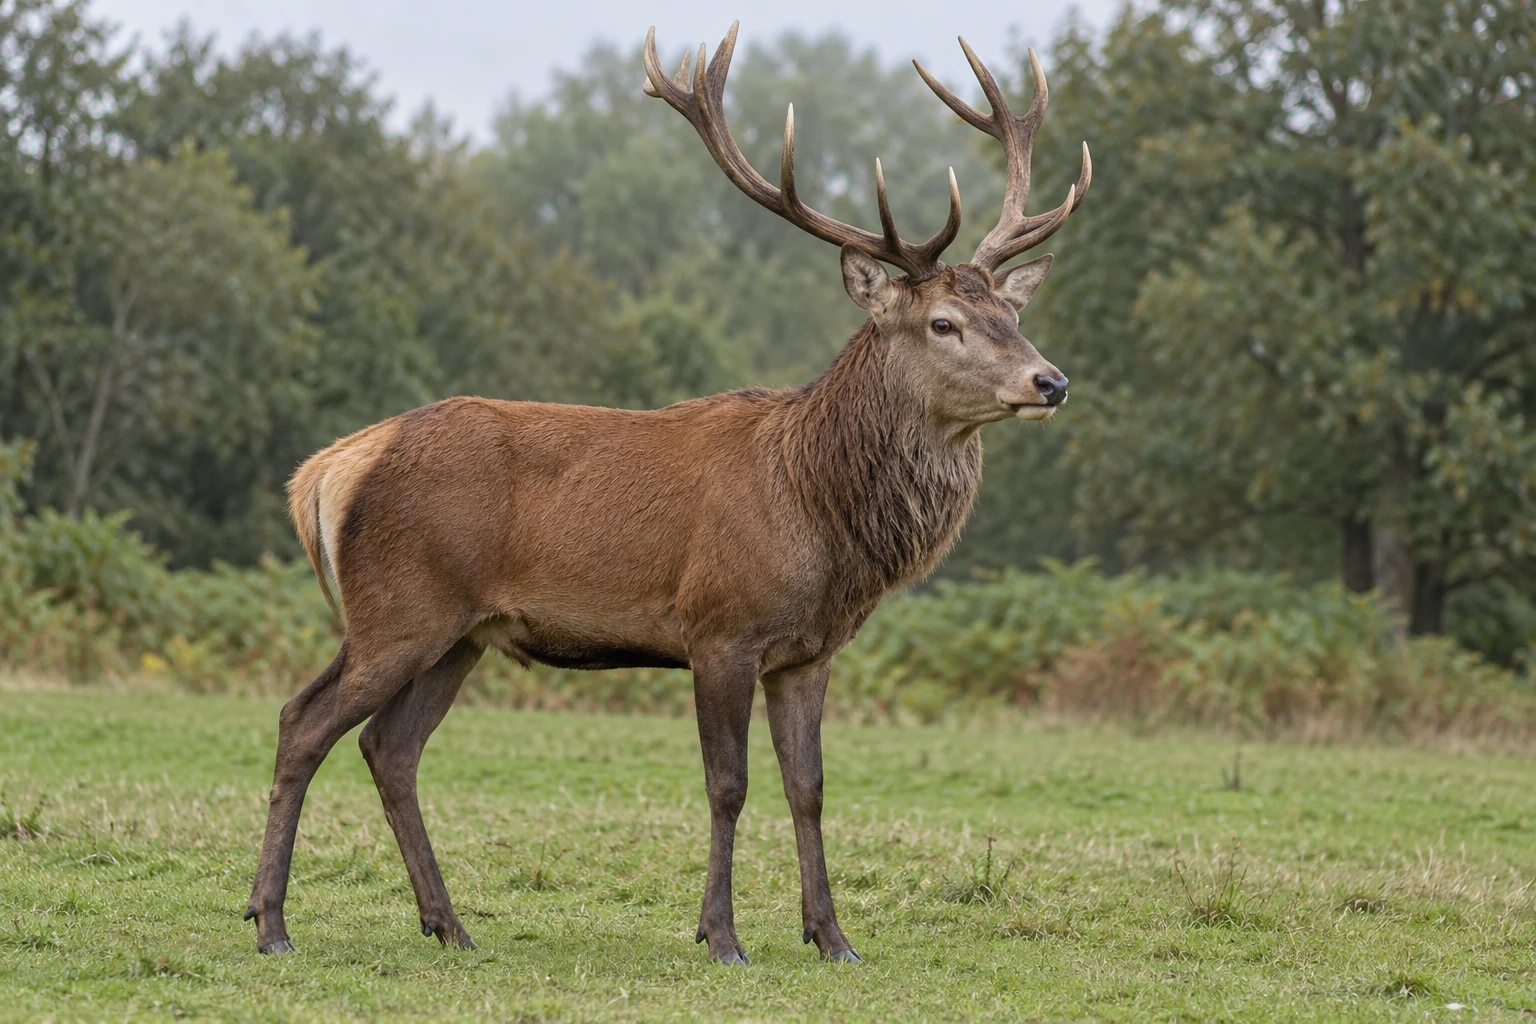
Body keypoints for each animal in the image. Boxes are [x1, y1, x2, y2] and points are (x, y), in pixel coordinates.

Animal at [245, 22, 1089, 964]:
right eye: (944, 323)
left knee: (390, 747)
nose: (1050, 381)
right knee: (303, 722)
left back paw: (449, 924)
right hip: (398, 608)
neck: (821, 517)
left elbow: (809, 787)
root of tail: (329, 469)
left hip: (458, 631)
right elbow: (729, 784)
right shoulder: (719, 627)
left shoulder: (810, 651)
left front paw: (832, 937)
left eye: (1012, 316)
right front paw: (721, 935)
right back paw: (271, 922)